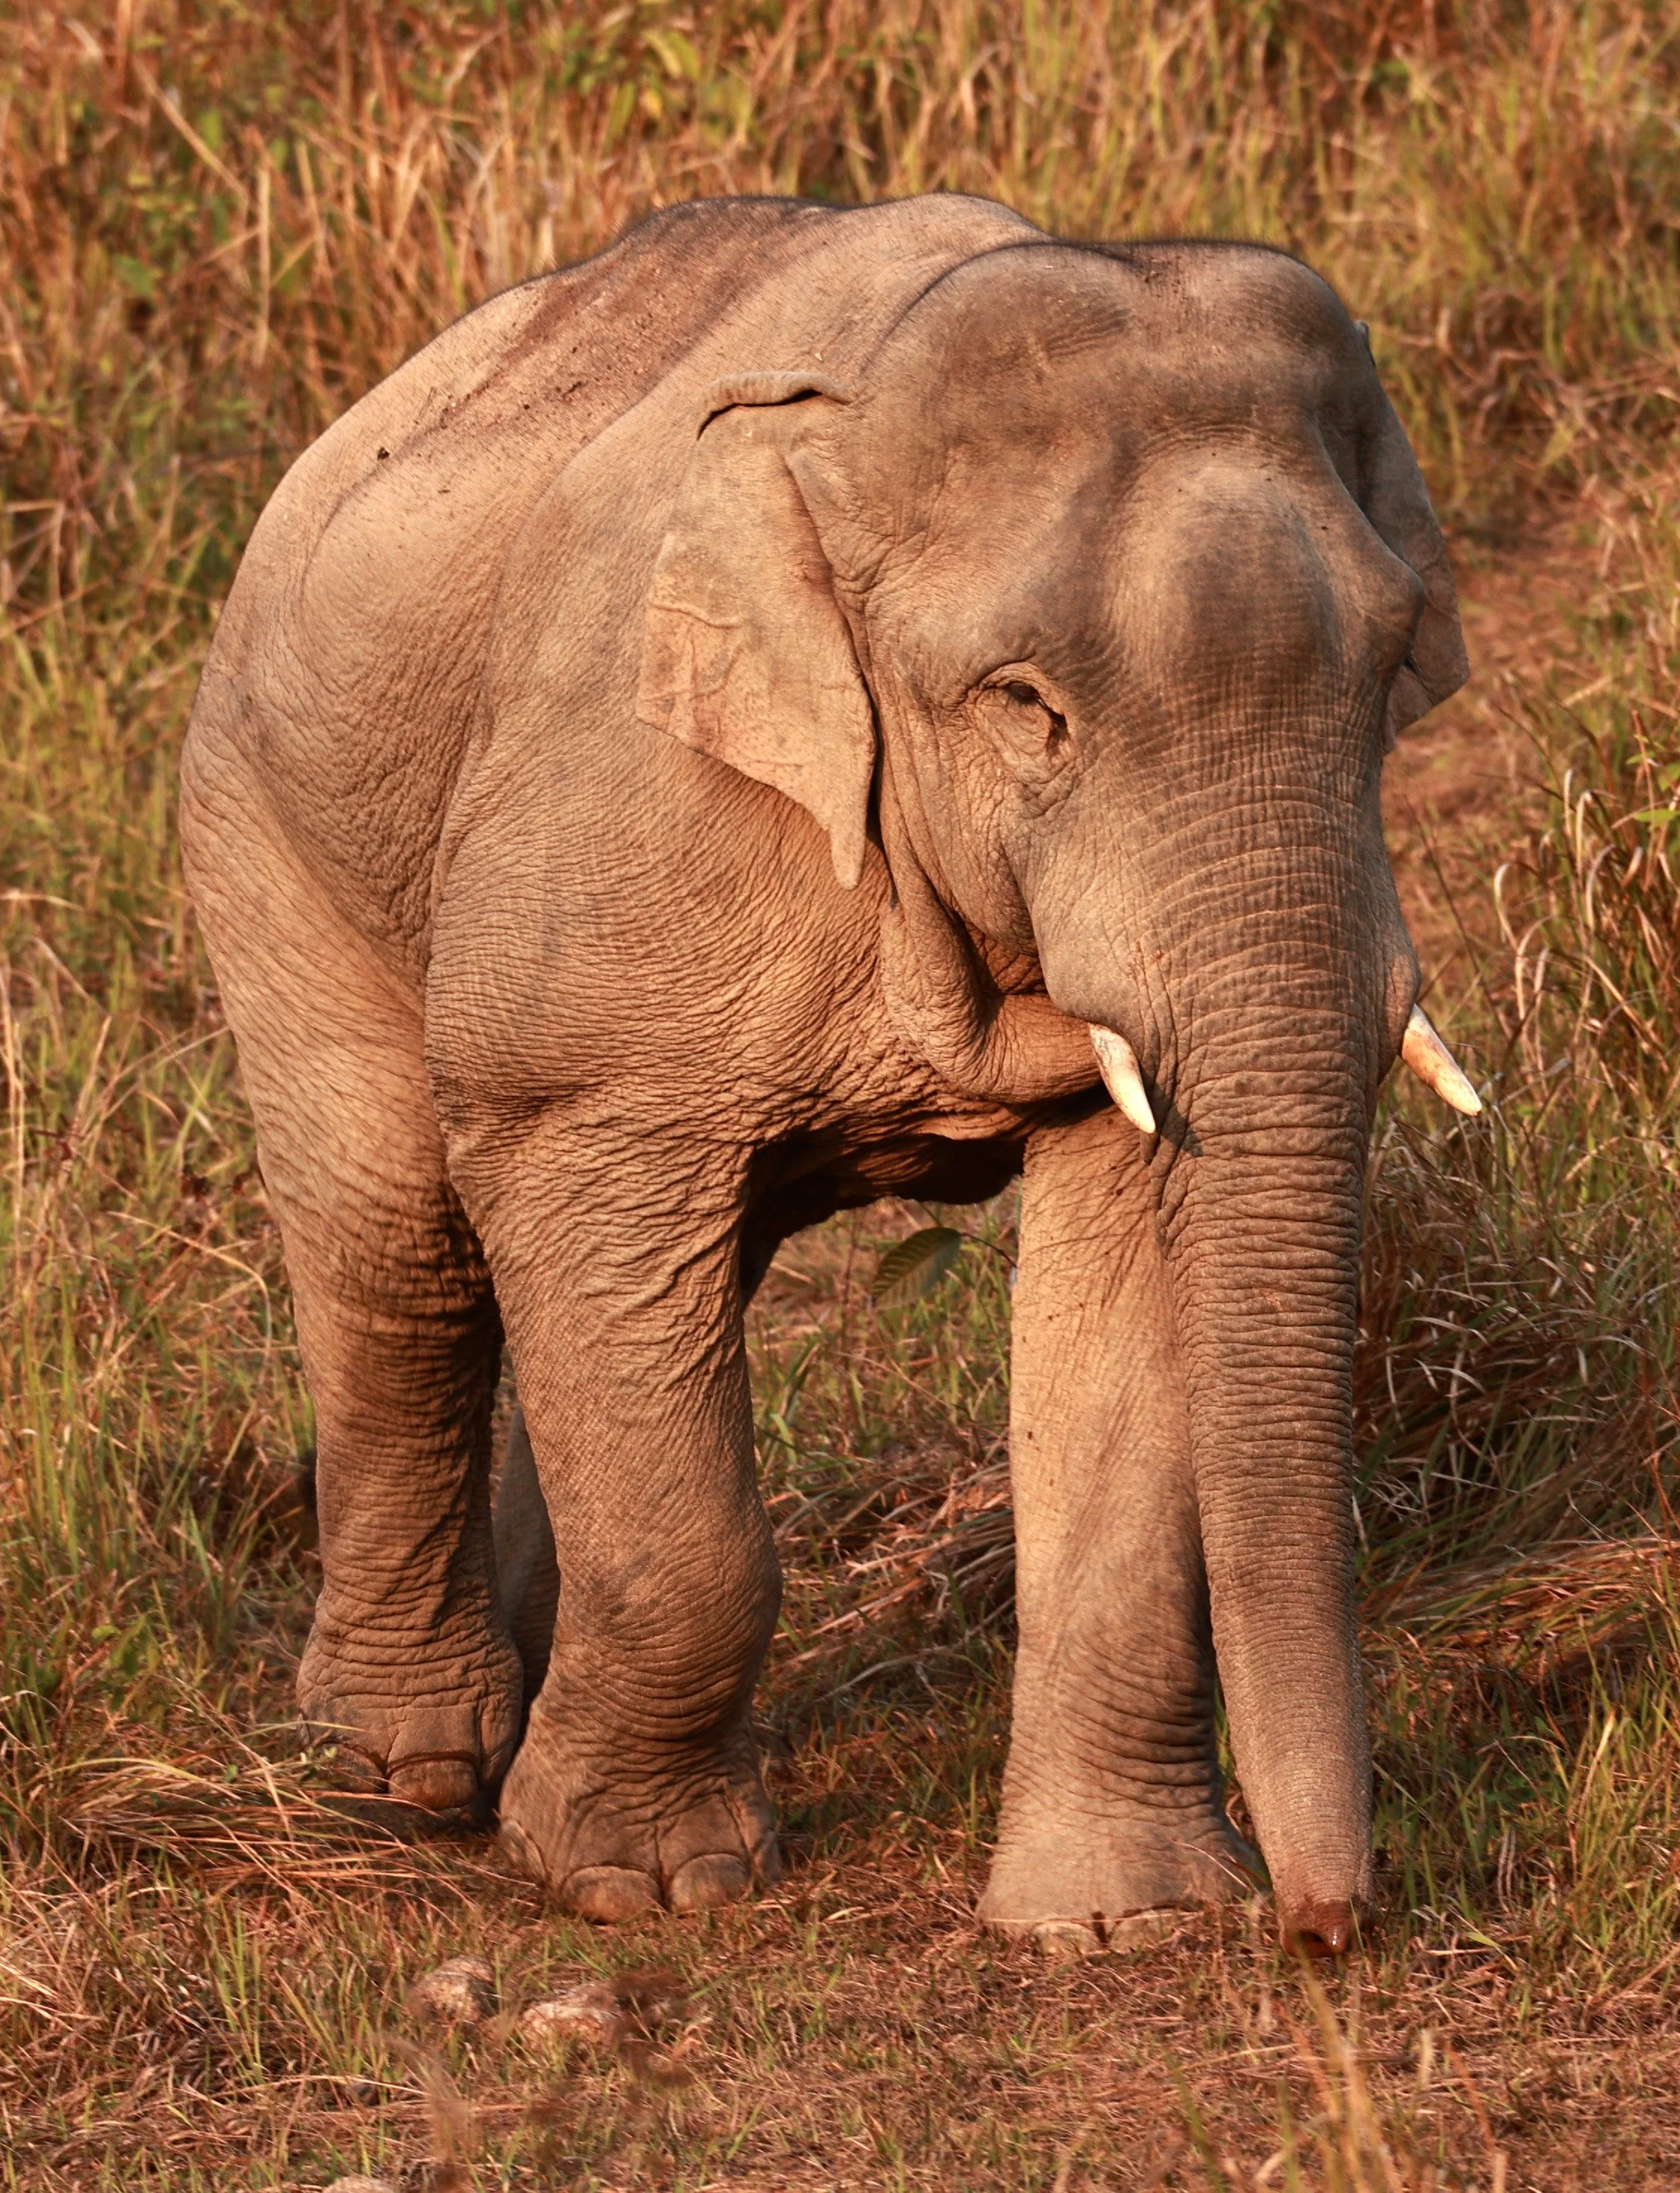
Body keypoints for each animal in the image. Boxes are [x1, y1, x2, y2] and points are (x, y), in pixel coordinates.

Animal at [180, 192, 1476, 1957]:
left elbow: (1130, 1282)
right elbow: (569, 1188)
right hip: (267, 825)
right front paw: (637, 1884)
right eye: (1024, 706)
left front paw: (1114, 1925)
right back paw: (407, 1773)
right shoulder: (621, 842)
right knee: (400, 1250)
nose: (1326, 1927)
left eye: (1394, 664)